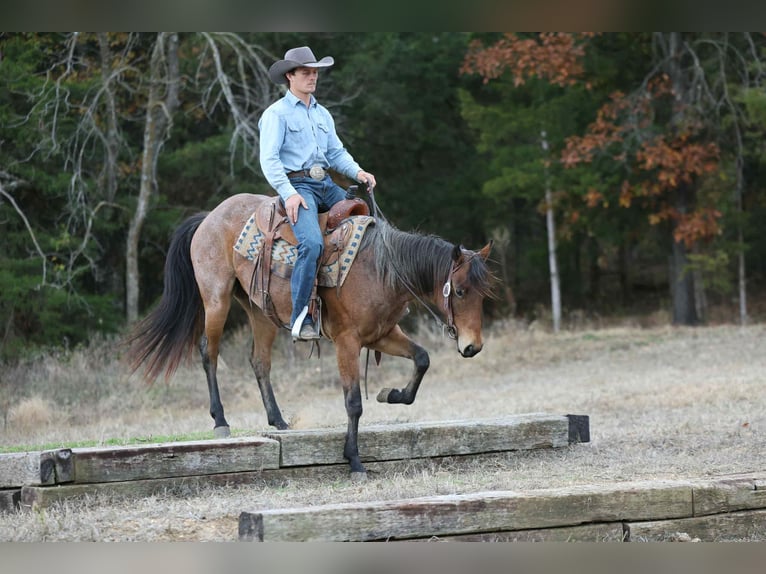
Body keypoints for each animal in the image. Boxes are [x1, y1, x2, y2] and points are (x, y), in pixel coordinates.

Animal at [127, 192, 494, 479]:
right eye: (460, 291)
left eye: (483, 295)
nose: (472, 346)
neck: (381, 270)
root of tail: (209, 217)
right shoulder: (347, 342)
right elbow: (353, 403)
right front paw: (354, 460)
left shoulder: (382, 334)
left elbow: (421, 359)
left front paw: (391, 394)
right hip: (215, 299)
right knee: (209, 352)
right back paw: (220, 420)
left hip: (260, 312)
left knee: (259, 361)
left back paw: (278, 420)